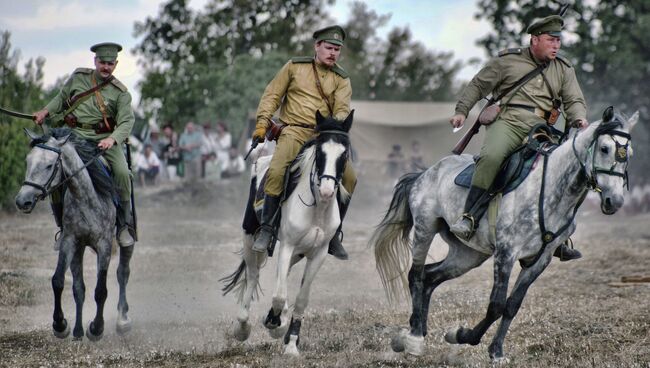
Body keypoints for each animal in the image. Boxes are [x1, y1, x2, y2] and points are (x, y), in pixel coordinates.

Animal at [221, 110, 354, 356]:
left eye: (344, 154)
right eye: (320, 152)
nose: (327, 191)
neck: (317, 207)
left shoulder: (319, 253)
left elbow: (301, 299)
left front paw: (291, 342)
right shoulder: (288, 245)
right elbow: (279, 295)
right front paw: (275, 325)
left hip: (299, 251)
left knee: (282, 274)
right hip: (250, 237)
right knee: (253, 275)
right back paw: (243, 327)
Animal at [368, 105, 636, 360]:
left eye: (629, 155)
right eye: (604, 148)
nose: (615, 201)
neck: (550, 190)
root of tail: (424, 173)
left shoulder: (540, 260)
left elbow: (512, 305)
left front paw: (495, 350)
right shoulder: (506, 253)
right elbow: (496, 305)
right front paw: (463, 336)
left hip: (468, 255)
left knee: (430, 276)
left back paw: (417, 330)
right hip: (425, 229)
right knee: (416, 275)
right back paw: (413, 338)